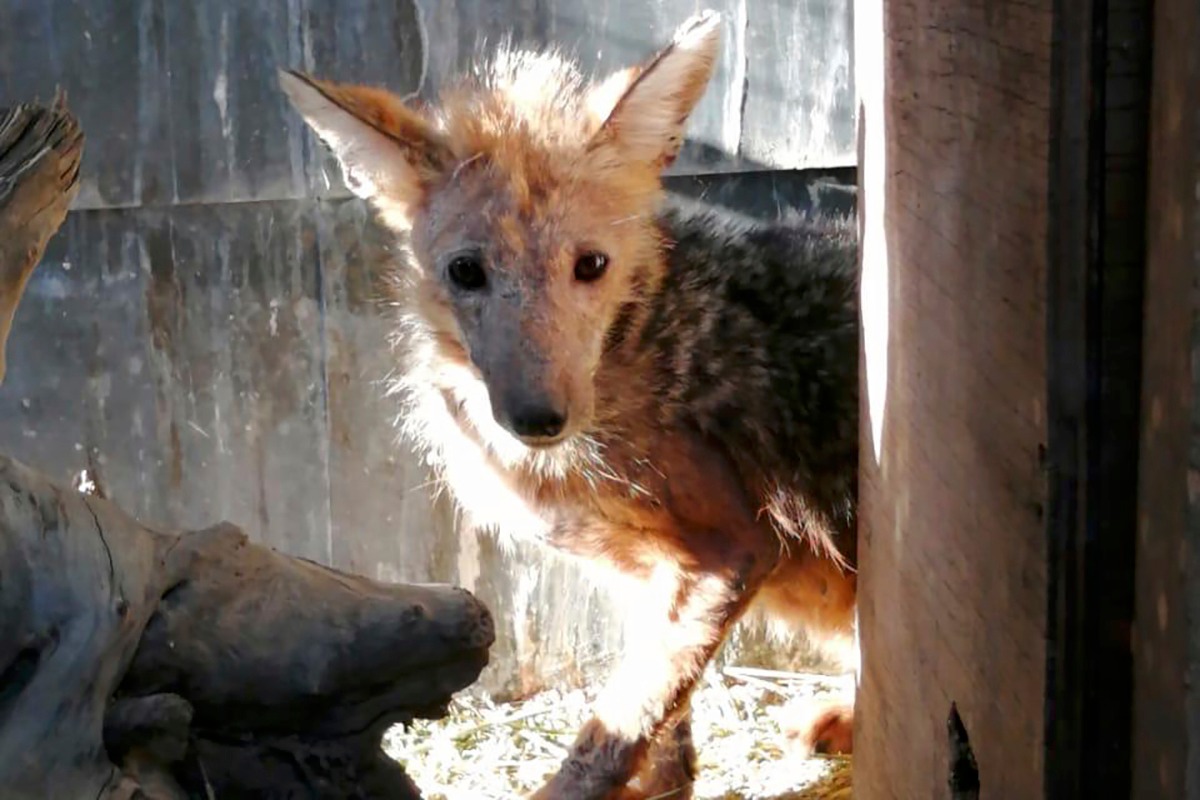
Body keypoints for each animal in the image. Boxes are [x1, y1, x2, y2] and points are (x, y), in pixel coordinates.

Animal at [281, 10, 860, 800]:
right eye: (466, 273)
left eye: (591, 266)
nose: (537, 420)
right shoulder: (650, 571)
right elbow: (662, 721)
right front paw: (665, 784)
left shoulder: (733, 550)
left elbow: (619, 721)